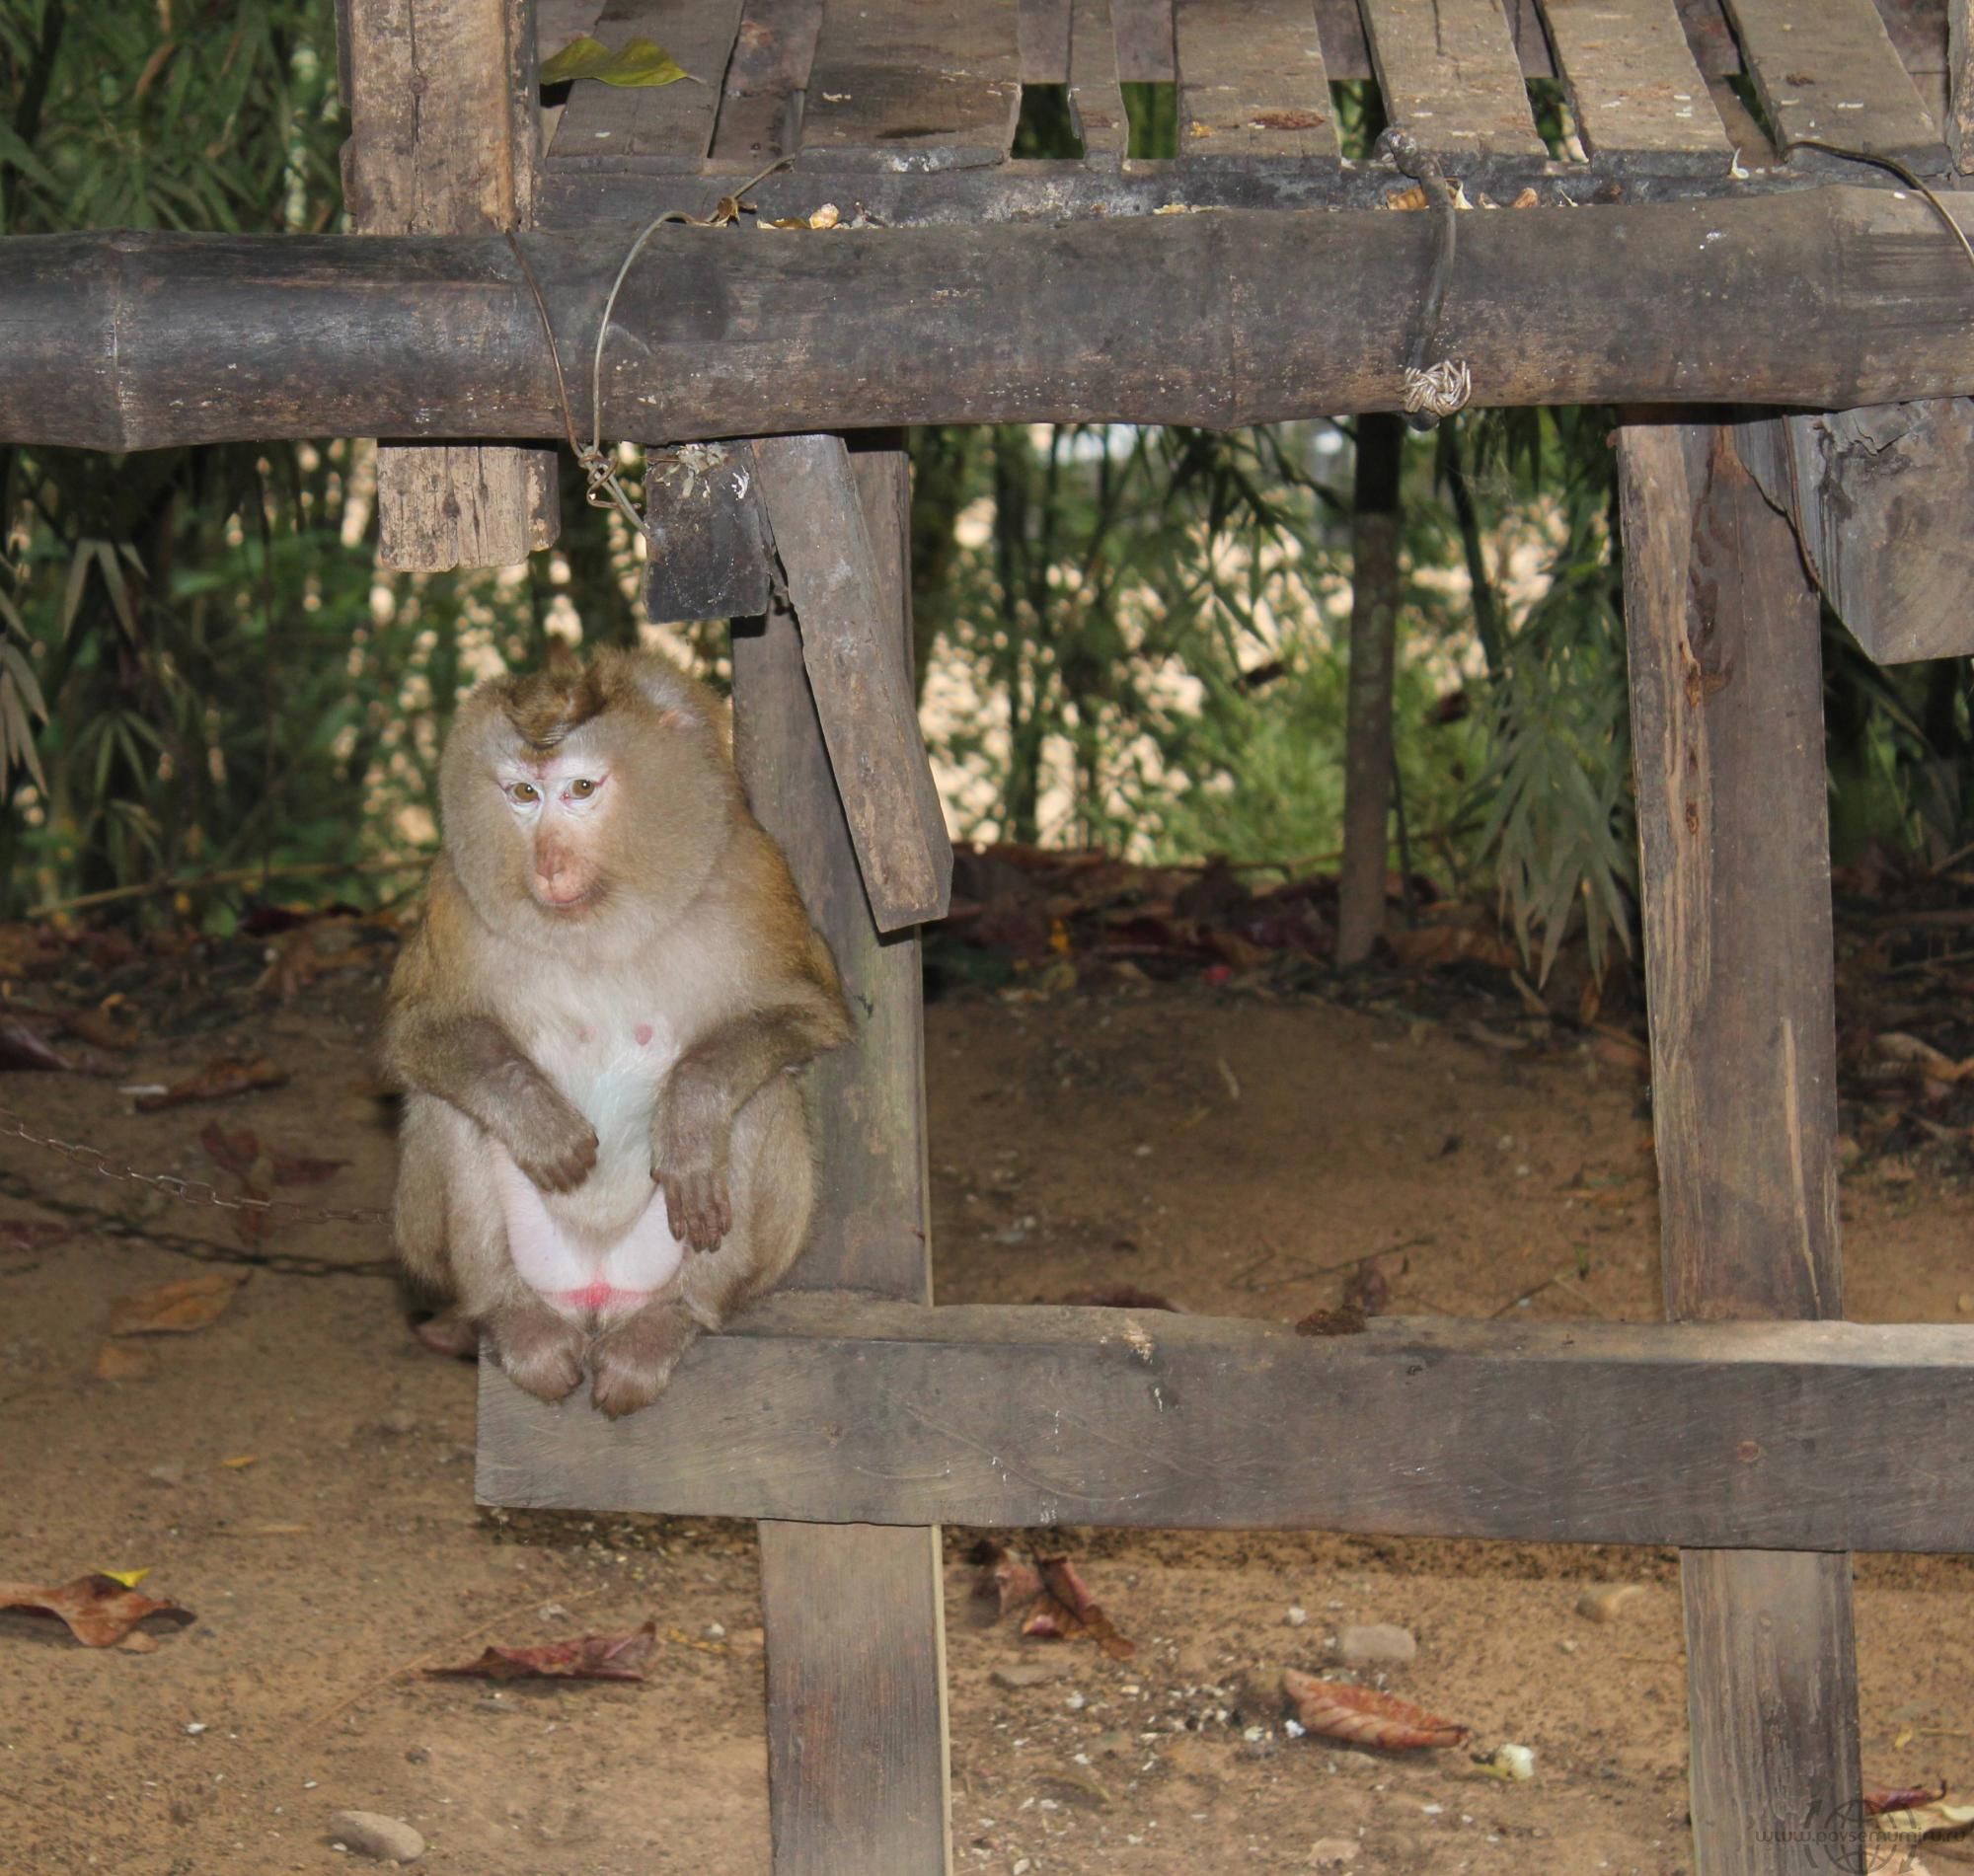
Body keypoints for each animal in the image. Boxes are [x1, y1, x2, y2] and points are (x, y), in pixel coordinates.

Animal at [383, 643, 849, 1405]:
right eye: (522, 794)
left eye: (580, 788)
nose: (548, 863)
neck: (600, 922)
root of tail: (597, 1296)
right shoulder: (452, 891)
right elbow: (418, 1037)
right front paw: (534, 1116)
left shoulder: (753, 876)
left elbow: (808, 1015)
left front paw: (690, 1116)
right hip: (534, 1263)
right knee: (451, 1106)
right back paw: (511, 1316)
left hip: (662, 1262)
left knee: (762, 1096)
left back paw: (674, 1316)